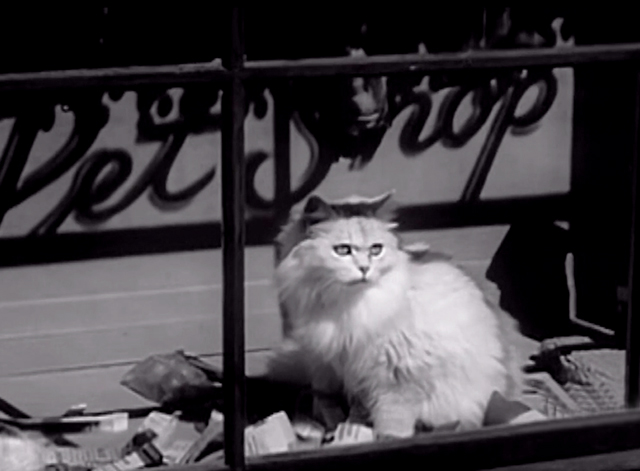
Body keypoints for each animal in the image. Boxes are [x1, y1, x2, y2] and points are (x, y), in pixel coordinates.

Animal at [268, 192, 524, 438]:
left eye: (376, 249)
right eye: (342, 250)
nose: (364, 269)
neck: (345, 303)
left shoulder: (397, 380)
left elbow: (392, 425)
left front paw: (384, 438)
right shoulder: (329, 364)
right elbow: (326, 402)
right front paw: (333, 426)